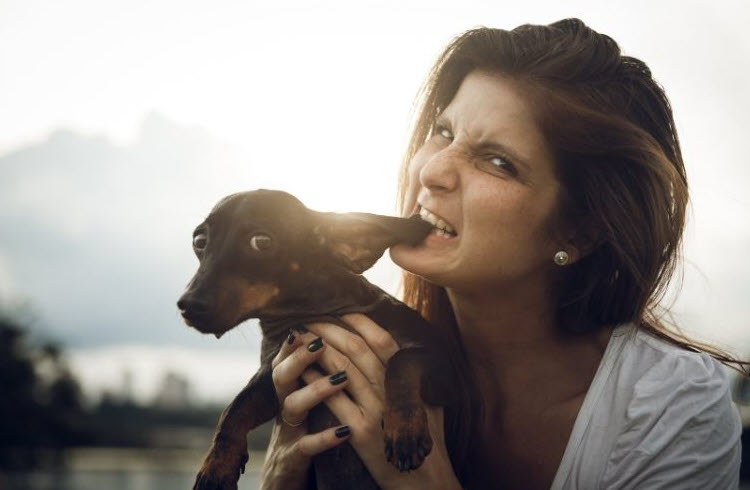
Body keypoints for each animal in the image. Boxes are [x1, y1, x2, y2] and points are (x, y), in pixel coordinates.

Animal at [176, 190, 476, 490]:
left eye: (261, 242)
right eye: (199, 240)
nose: (187, 305)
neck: (312, 312)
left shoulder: (446, 378)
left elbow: (402, 361)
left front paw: (404, 430)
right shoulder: (277, 376)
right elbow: (235, 408)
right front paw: (216, 466)